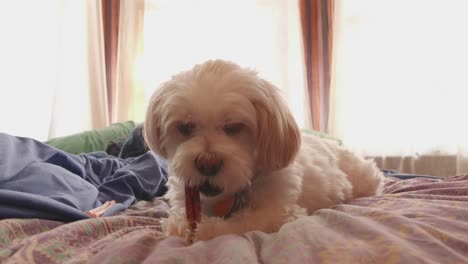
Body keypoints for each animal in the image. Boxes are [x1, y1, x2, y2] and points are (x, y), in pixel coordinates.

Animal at [144, 59, 384, 241]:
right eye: (185, 127)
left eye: (234, 127)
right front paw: (182, 225)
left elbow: (241, 222)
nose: (207, 164)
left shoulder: (280, 213)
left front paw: (205, 228)